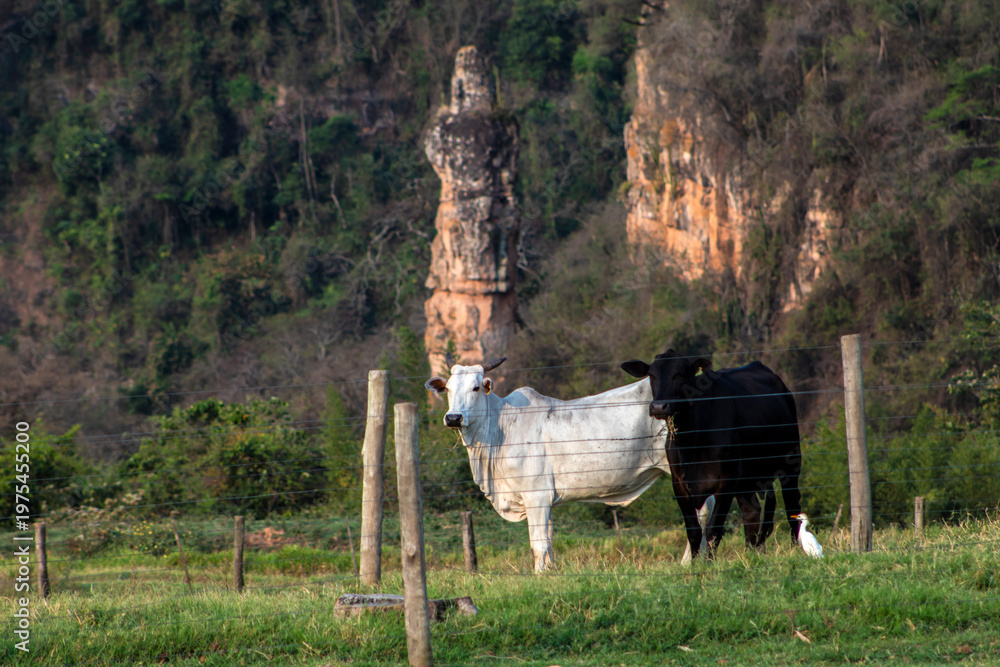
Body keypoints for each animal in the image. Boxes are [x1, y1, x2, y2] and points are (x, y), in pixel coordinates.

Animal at [425, 356, 713, 572]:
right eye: (448, 389)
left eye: (475, 388)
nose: (453, 417)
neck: (498, 429)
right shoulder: (545, 499)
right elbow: (549, 542)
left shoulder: (536, 495)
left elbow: (538, 544)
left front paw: (540, 576)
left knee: (701, 510)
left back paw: (690, 562)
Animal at [621, 349, 802, 560]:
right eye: (652, 375)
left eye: (680, 374)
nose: (659, 407)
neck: (691, 441)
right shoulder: (679, 484)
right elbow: (693, 531)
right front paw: (695, 562)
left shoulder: (726, 481)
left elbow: (713, 529)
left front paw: (709, 562)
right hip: (746, 478)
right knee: (752, 512)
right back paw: (750, 554)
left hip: (791, 462)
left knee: (792, 507)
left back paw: (796, 549)